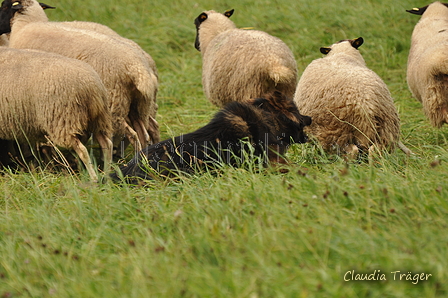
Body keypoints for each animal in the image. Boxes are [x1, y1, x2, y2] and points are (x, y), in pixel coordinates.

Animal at [0, 0, 159, 155]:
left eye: (4, 6)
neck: (27, 23)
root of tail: (138, 68)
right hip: (138, 104)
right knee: (147, 130)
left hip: (113, 105)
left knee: (132, 134)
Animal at [0, 46, 113, 182]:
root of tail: (92, 87)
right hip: (98, 119)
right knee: (107, 144)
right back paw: (107, 177)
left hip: (63, 120)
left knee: (82, 150)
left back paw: (94, 179)